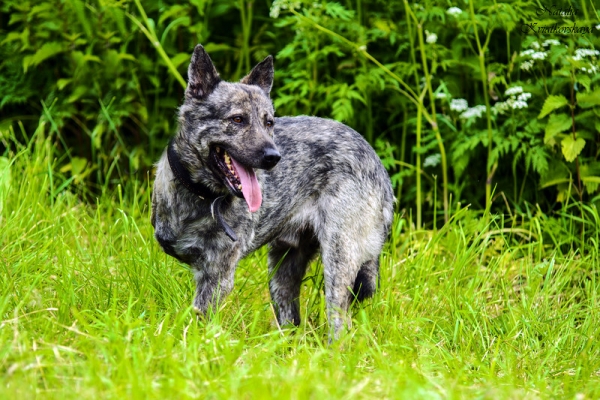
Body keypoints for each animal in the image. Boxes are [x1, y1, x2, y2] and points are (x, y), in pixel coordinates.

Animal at [151, 45, 394, 339]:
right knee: (291, 320)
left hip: (339, 261)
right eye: (237, 119)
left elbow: (200, 317)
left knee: (340, 323)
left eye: (269, 122)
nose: (273, 157)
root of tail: (377, 163)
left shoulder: (217, 274)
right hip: (282, 272)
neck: (200, 195)